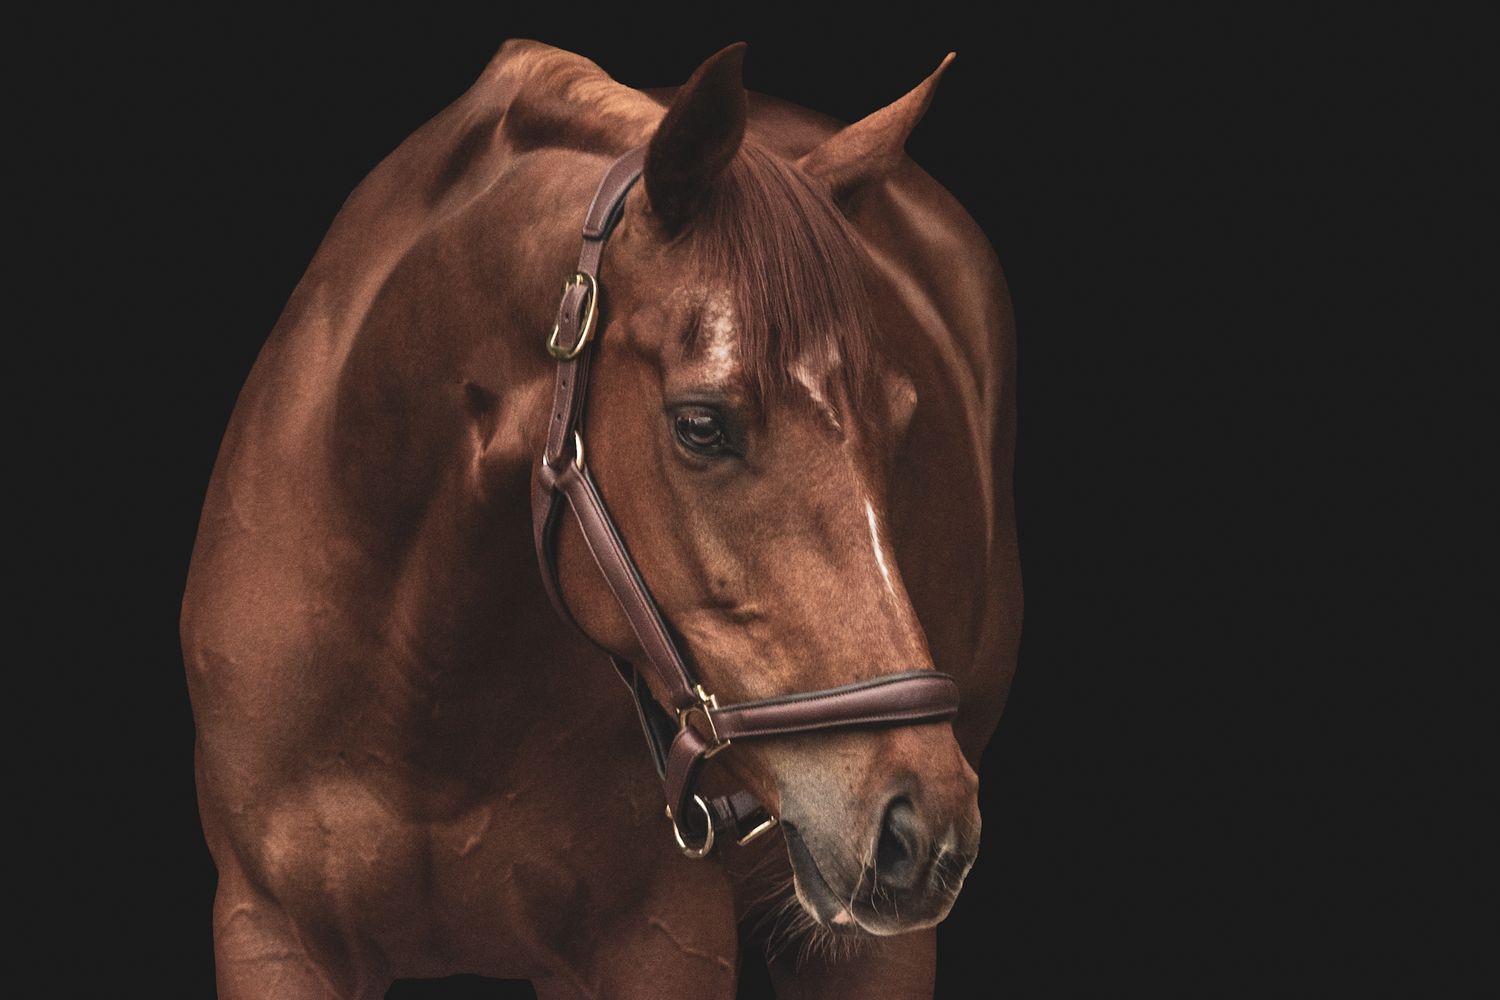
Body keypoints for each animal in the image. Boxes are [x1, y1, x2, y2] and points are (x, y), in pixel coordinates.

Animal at [181, 38, 1020, 999]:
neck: (414, 680)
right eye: (701, 424)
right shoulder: (270, 934)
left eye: (901, 419)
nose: (923, 825)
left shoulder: (659, 946)